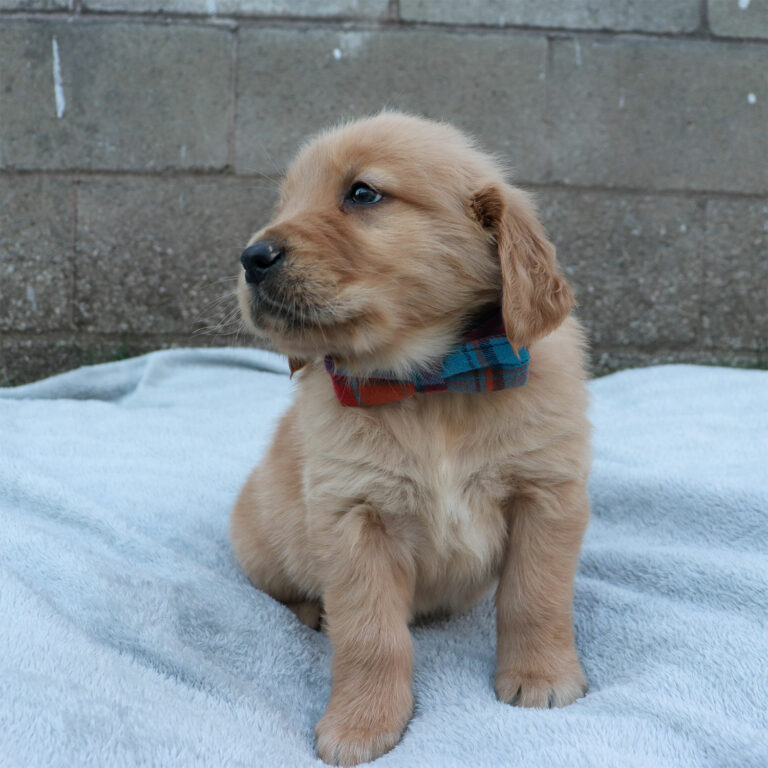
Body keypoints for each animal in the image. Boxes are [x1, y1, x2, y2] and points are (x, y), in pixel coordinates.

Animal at [231, 111, 592, 764]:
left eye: (362, 193)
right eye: (285, 202)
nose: (251, 256)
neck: (429, 386)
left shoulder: (548, 495)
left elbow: (536, 597)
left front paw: (542, 677)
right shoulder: (352, 520)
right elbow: (370, 636)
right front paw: (361, 725)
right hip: (262, 544)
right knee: (280, 593)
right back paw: (309, 613)